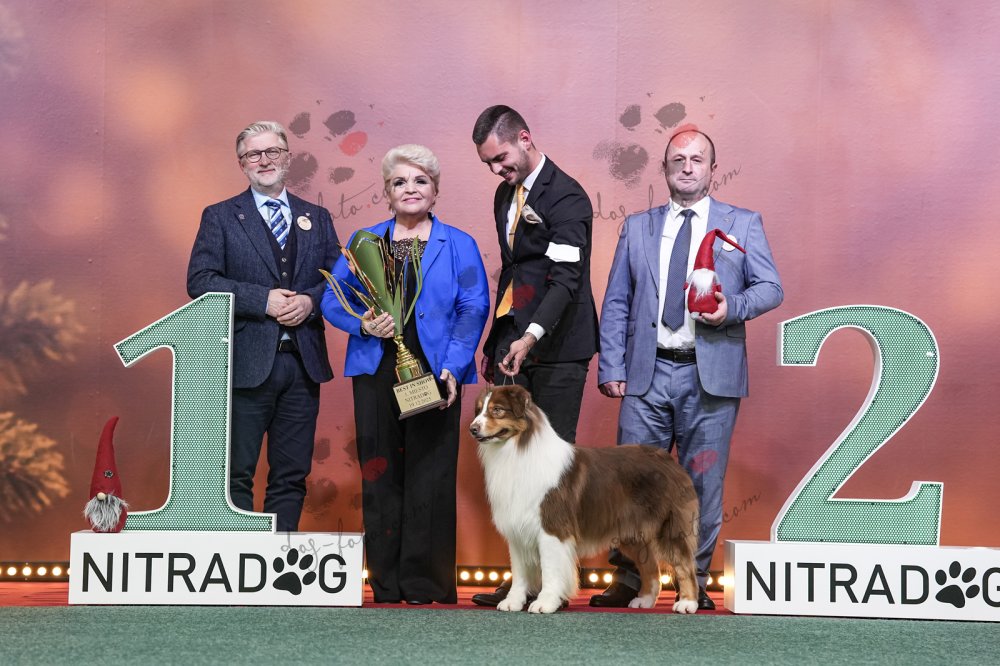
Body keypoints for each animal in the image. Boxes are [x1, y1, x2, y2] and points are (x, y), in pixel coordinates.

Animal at [469, 384, 701, 614]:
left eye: (497, 410)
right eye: (479, 410)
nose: (472, 428)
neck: (516, 450)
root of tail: (668, 459)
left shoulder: (553, 527)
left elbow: (550, 570)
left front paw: (545, 603)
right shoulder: (517, 528)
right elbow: (519, 573)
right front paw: (512, 602)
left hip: (668, 527)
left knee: (685, 565)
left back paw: (688, 603)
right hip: (632, 533)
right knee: (651, 567)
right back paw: (644, 600)